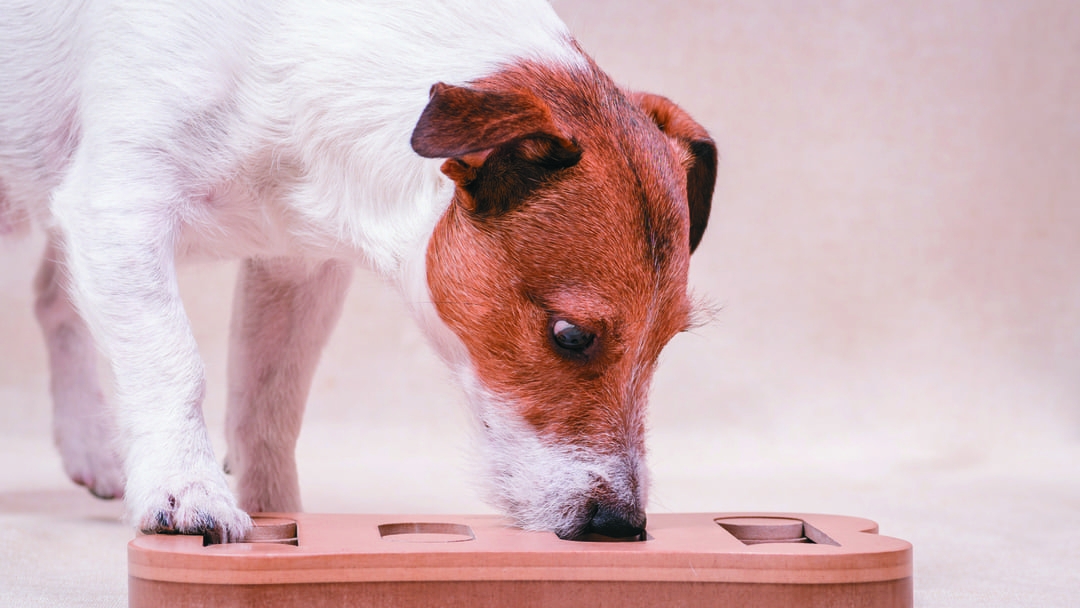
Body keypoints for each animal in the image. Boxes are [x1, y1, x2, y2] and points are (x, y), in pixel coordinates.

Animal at [0, 0, 717, 542]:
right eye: (570, 335)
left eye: (667, 343)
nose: (620, 525)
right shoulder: (120, 210)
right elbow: (174, 361)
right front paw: (186, 489)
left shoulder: (295, 268)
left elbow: (270, 402)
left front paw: (277, 513)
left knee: (54, 298)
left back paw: (90, 445)